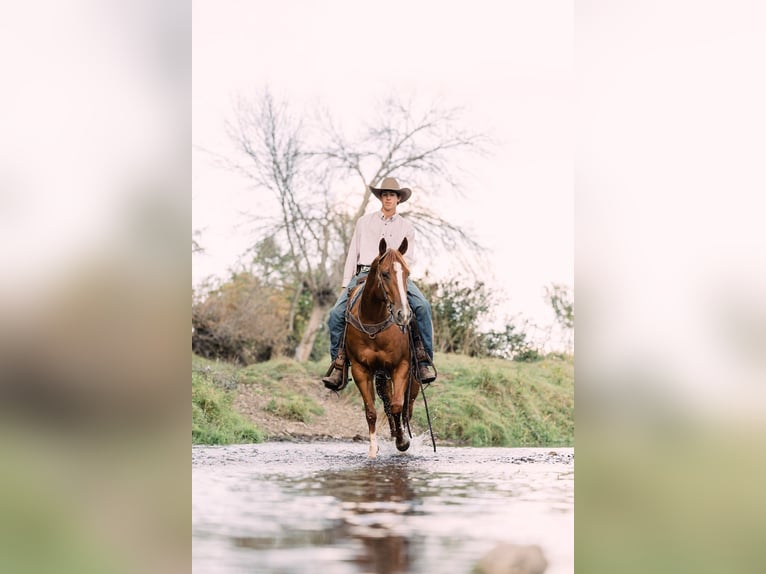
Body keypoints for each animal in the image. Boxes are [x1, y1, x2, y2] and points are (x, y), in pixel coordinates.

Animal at [344, 237, 421, 458]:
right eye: (385, 273)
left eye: (407, 273)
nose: (403, 314)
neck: (373, 321)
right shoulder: (361, 369)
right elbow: (371, 411)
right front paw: (372, 450)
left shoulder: (401, 367)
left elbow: (397, 406)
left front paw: (403, 442)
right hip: (381, 376)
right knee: (387, 401)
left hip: (413, 377)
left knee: (407, 408)